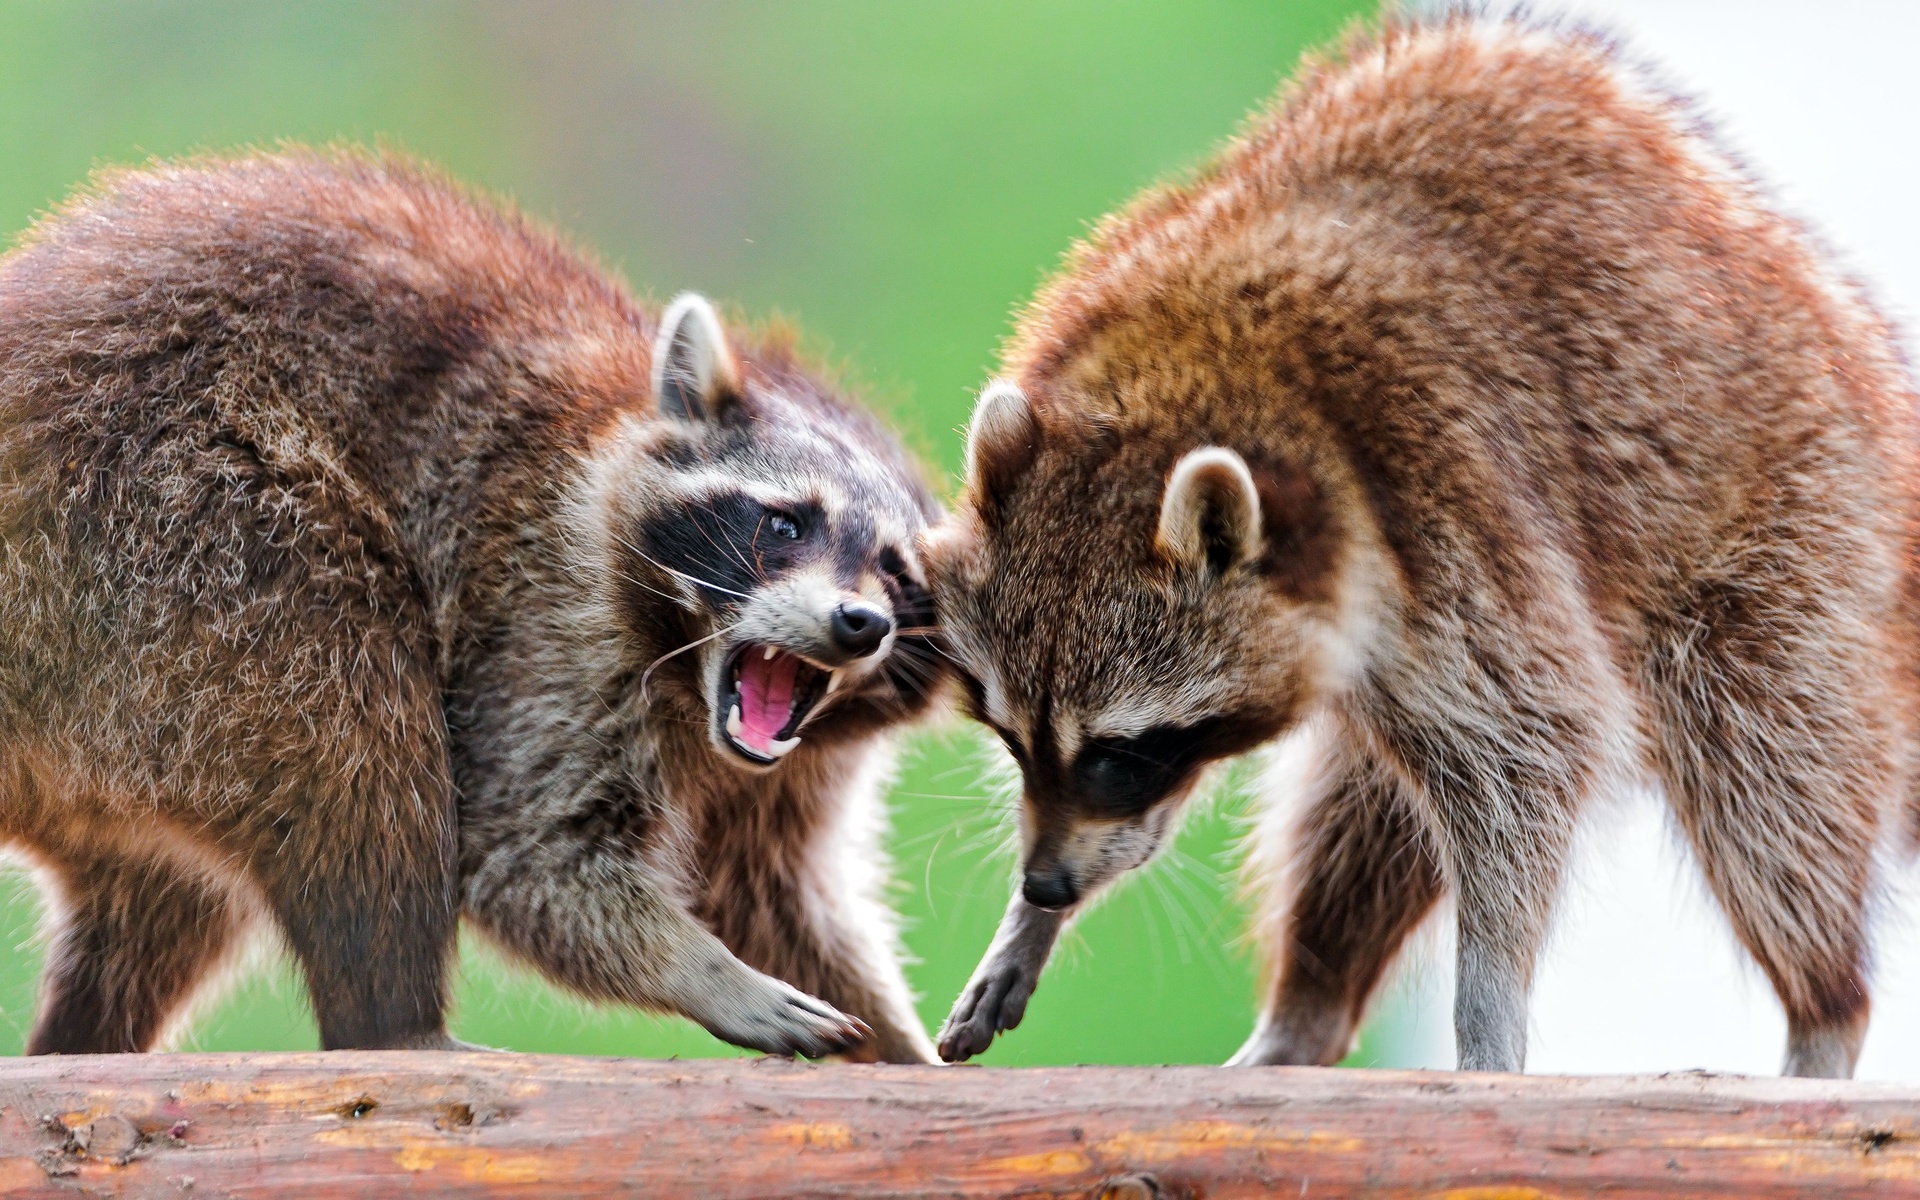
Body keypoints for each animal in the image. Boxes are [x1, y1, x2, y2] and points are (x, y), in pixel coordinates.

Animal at [0, 150, 943, 1062]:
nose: (859, 625)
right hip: (168, 538)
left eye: (899, 576)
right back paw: (392, 1021)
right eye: (786, 523)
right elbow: (528, 855)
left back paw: (86, 1037)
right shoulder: (547, 602)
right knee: (354, 729)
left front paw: (897, 1043)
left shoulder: (796, 766)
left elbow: (768, 896)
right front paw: (704, 969)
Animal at [929, 13, 1919, 1077]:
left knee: (1771, 786)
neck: (1197, 368)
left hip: (1787, 529)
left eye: (1124, 752)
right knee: (1360, 820)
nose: (1044, 886)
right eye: (1011, 738)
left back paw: (1826, 1006)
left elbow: (1536, 745)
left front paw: (1489, 1001)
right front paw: (1030, 923)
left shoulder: (1449, 502)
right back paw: (1308, 1005)